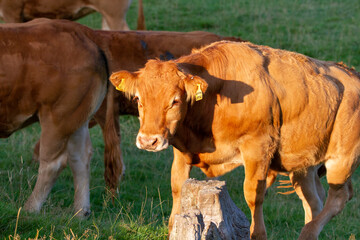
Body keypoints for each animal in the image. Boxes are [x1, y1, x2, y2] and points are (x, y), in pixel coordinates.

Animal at [110, 40, 360, 239]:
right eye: (138, 99)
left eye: (174, 101)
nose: (148, 141)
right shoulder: (182, 150)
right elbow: (177, 187)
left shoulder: (258, 149)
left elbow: (253, 194)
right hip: (302, 164)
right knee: (314, 202)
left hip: (342, 159)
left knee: (339, 196)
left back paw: (308, 232)